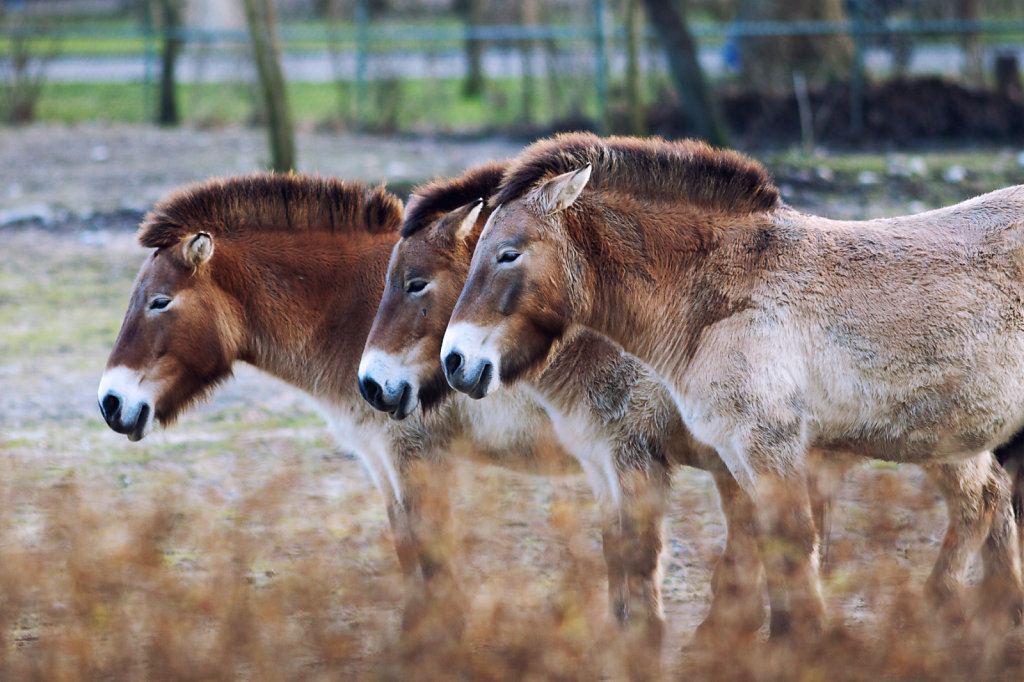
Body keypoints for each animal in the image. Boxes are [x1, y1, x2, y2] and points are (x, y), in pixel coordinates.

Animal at [440, 133, 1024, 638]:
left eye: (509, 253)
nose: (455, 362)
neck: (721, 294)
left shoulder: (767, 443)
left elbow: (790, 543)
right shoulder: (736, 454)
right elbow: (765, 545)